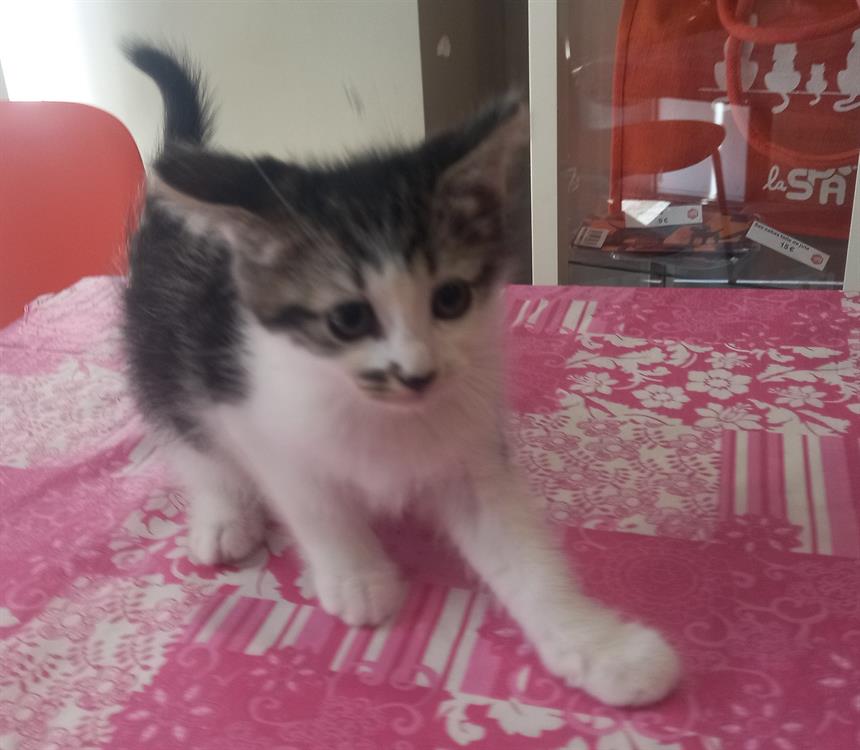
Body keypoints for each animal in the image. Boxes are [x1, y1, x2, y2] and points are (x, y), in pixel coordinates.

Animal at [123, 44, 680, 707]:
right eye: (348, 318)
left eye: (451, 299)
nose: (417, 374)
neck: (380, 412)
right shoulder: (261, 421)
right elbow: (313, 502)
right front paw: (359, 578)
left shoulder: (471, 446)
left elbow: (522, 550)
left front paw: (600, 647)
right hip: (162, 351)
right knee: (188, 436)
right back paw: (225, 518)